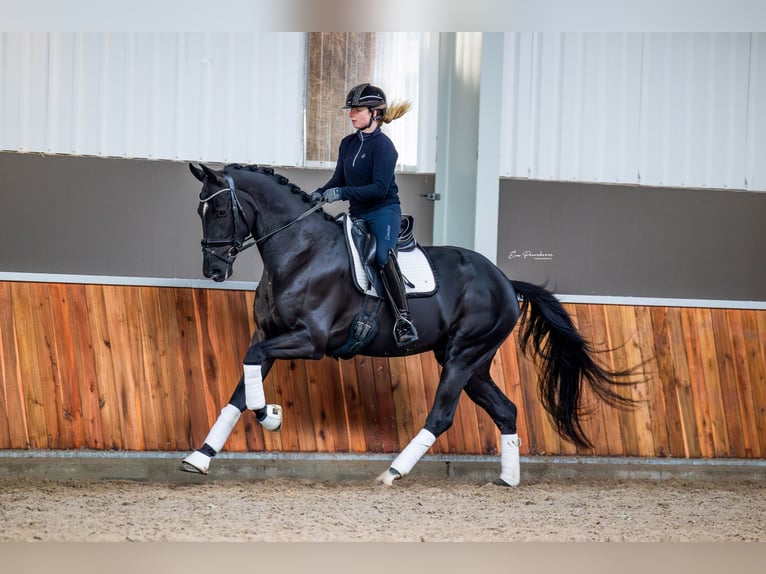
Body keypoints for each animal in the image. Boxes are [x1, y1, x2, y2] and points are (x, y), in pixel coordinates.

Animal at [182, 162, 636, 486]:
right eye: (199, 210)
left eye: (219, 210)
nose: (214, 270)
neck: (301, 252)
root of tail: (506, 282)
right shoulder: (270, 335)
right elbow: (241, 387)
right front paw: (199, 457)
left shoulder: (309, 341)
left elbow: (251, 375)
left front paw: (270, 415)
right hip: (473, 363)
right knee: (505, 410)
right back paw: (508, 480)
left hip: (462, 357)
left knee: (441, 416)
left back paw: (392, 472)